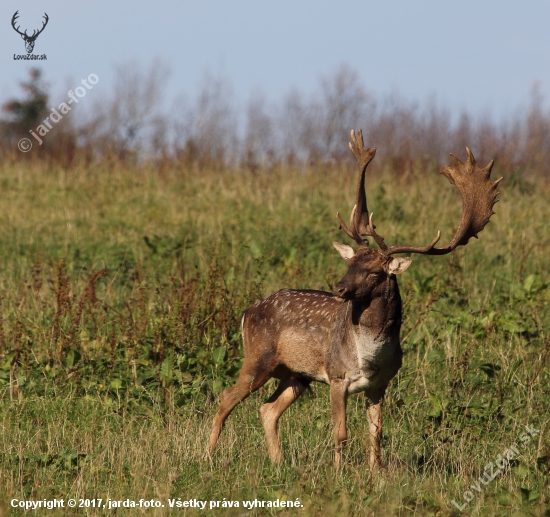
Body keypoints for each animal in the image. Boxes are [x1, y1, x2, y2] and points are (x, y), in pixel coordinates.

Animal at [208, 129, 504, 468]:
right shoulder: (337, 377)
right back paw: (206, 456)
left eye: (375, 272)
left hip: (297, 375)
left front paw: (375, 474)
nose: (339, 288)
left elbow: (376, 434)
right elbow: (341, 433)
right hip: (258, 357)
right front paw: (339, 473)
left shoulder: (380, 385)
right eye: (349, 263)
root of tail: (247, 311)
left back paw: (279, 464)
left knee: (267, 408)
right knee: (227, 396)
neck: (369, 359)